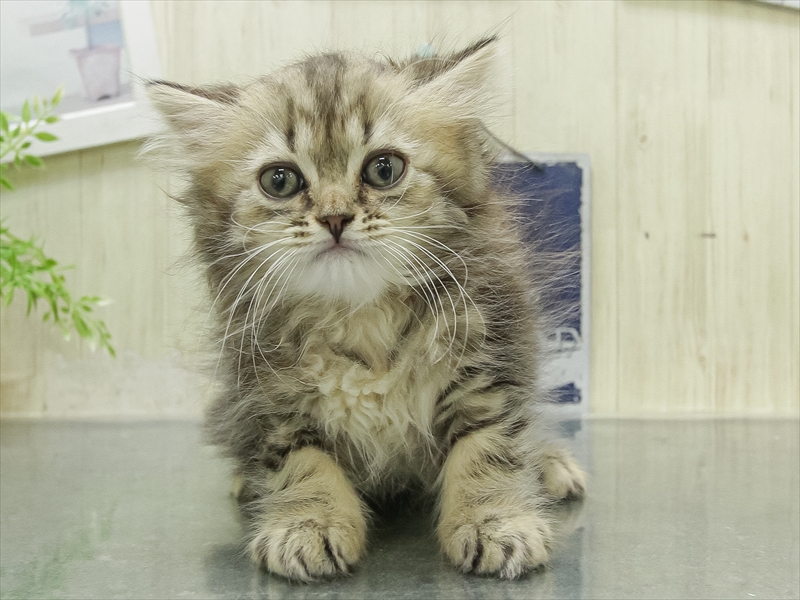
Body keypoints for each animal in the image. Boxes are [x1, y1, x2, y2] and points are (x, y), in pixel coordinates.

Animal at [146, 36, 586, 582]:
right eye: (280, 181)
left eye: (383, 169)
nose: (336, 217)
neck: (361, 316)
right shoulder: (267, 397)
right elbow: (302, 463)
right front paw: (306, 524)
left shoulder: (491, 363)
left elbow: (489, 449)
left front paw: (496, 521)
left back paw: (551, 465)